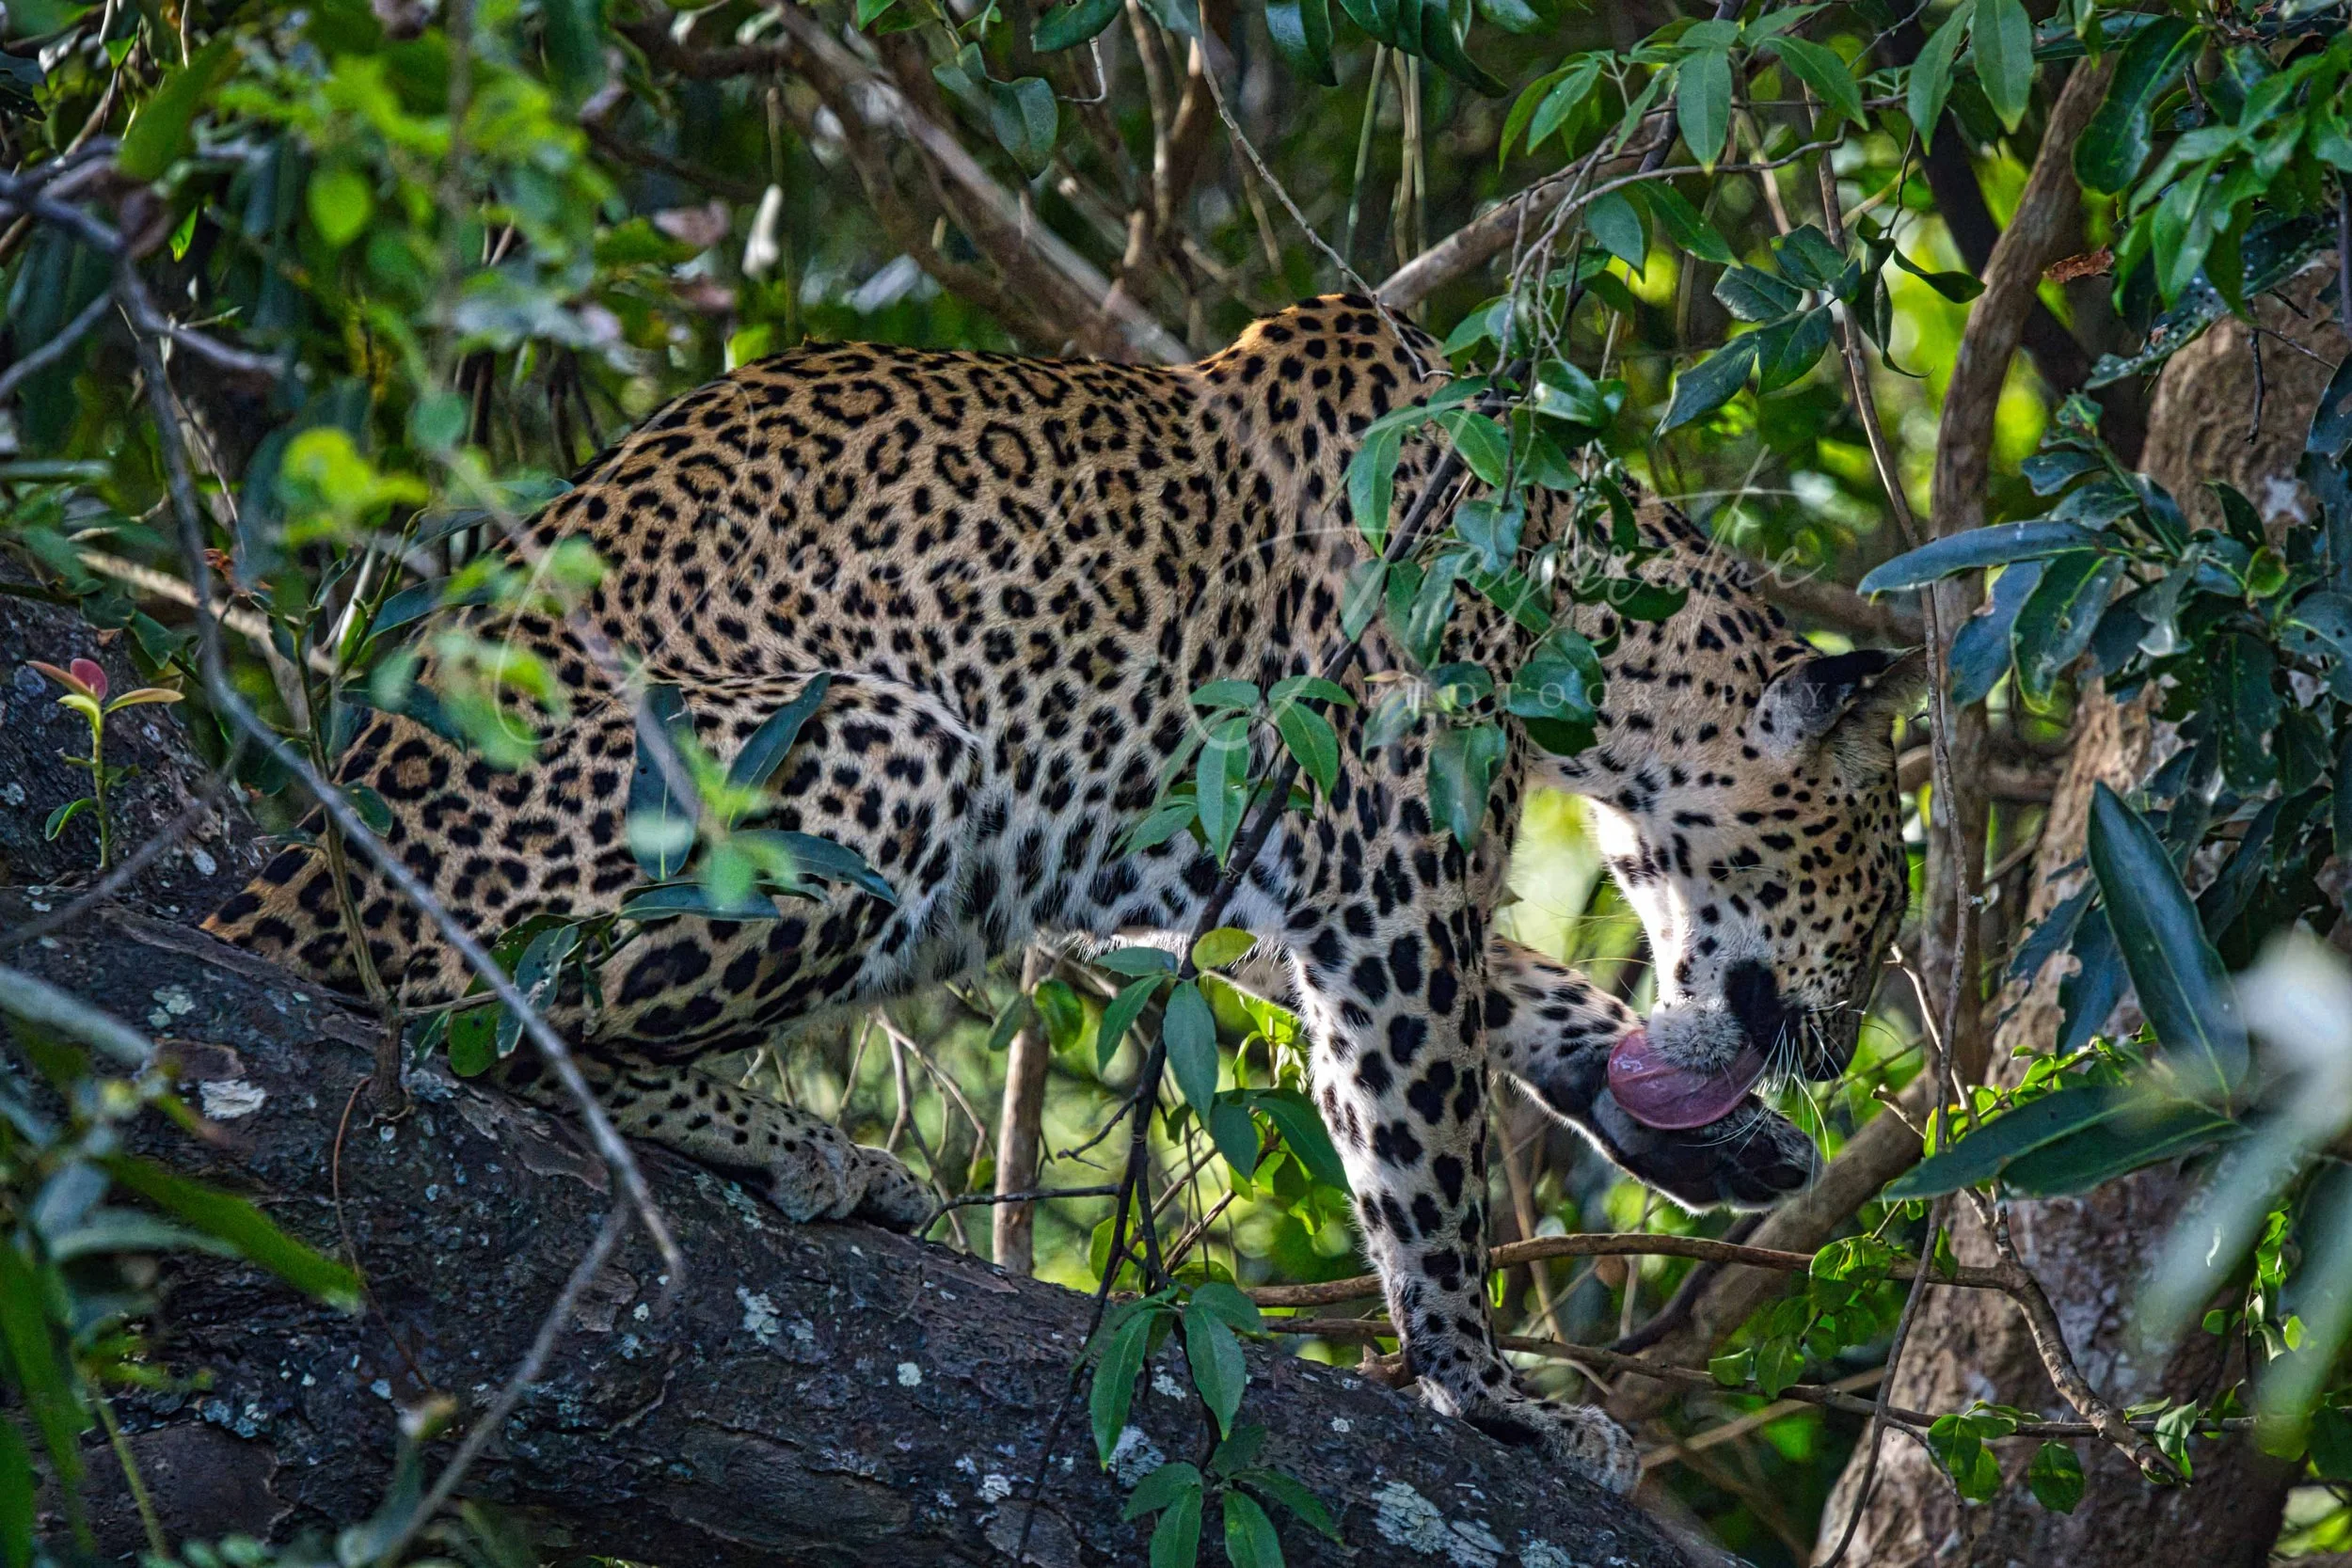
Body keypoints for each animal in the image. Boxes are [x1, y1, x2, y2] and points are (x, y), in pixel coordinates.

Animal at [204, 293, 1917, 1496]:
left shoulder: (1274, 868)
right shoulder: (1381, 877)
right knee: (495, 1019)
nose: (1840, 1052)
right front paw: (1496, 1393)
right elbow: (1425, 1155)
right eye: (1883, 881)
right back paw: (820, 1153)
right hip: (883, 741)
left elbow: (1531, 995)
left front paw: (1710, 1139)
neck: (1589, 620)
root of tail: (295, 866)